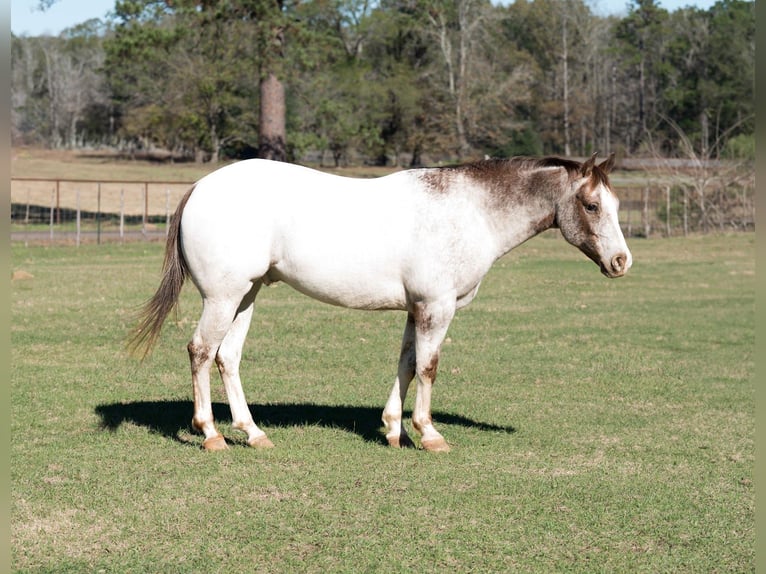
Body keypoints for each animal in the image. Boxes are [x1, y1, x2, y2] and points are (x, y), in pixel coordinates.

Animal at [129, 152, 632, 452]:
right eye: (591, 206)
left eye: (615, 204)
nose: (621, 261)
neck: (470, 211)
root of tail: (201, 188)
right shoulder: (436, 308)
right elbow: (428, 368)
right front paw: (428, 434)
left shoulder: (417, 309)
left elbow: (407, 364)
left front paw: (394, 428)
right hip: (223, 297)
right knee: (200, 351)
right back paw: (211, 434)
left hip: (245, 295)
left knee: (227, 357)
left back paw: (252, 433)